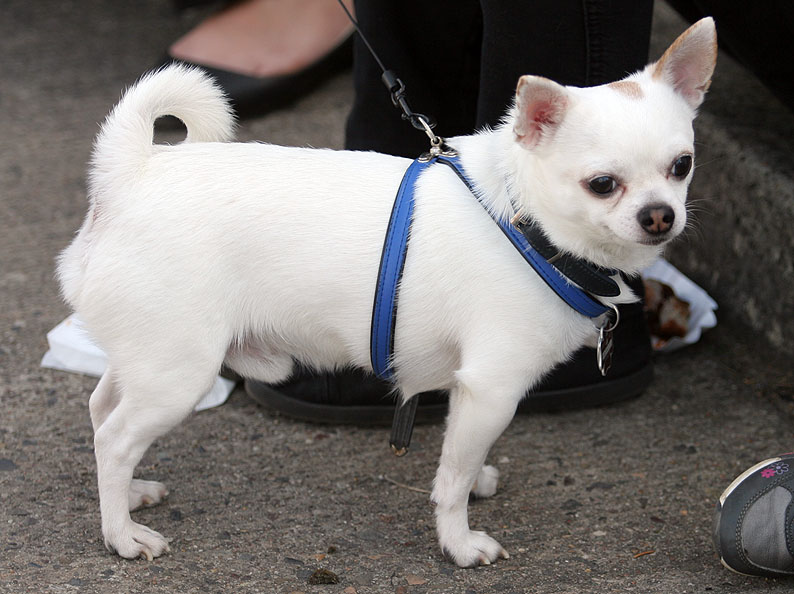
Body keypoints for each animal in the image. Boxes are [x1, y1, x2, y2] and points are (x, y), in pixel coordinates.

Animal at [57, 18, 716, 567]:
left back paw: (130, 494)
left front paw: (475, 478)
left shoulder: (467, 390)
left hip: (147, 357)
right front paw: (458, 542)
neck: (521, 219)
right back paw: (121, 535)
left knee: (101, 411)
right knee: (115, 439)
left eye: (682, 166)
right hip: (179, 373)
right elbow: (451, 482)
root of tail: (130, 174)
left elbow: (458, 454)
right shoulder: (493, 388)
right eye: (602, 184)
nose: (659, 215)